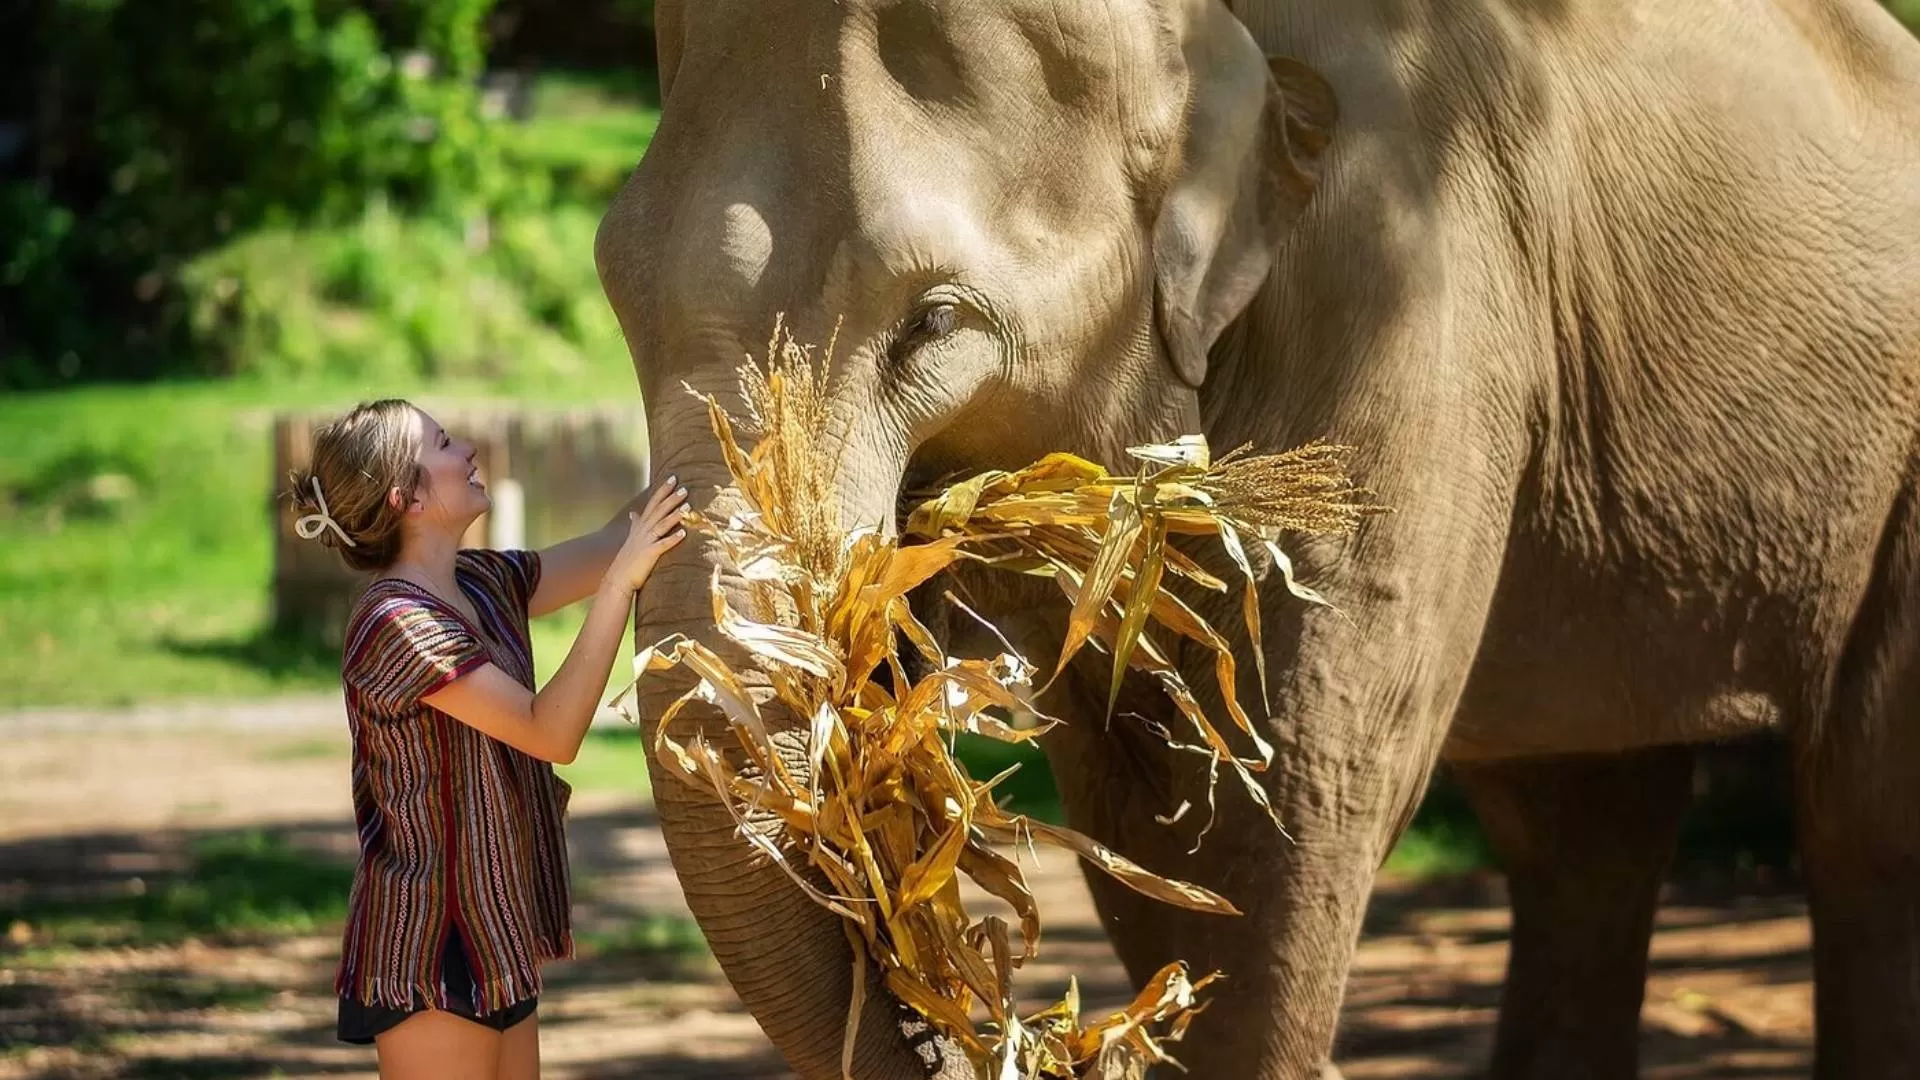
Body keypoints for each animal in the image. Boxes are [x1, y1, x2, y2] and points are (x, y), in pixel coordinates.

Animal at [592, 0, 1920, 1077]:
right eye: (615, 287)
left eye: (931, 321)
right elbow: (1135, 791)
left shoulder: (1408, 286)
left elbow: (1297, 778)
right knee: (1589, 825)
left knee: (1861, 817)